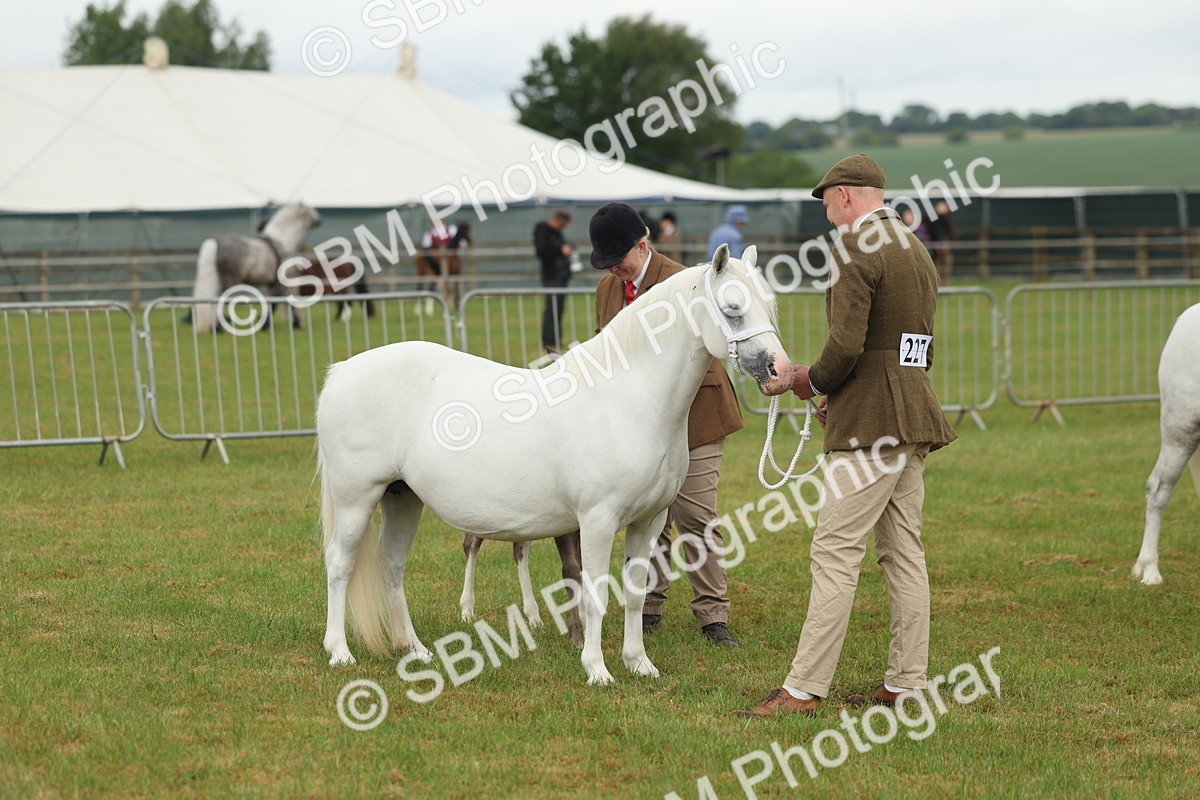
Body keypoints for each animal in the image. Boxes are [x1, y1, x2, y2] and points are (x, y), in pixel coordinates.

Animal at [191, 203, 321, 331]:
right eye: (310, 211)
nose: (319, 221)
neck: (281, 239)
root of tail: (215, 241)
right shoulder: (281, 282)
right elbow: (285, 300)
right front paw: (296, 324)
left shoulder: (270, 284)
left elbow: (272, 301)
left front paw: (265, 325)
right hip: (231, 281)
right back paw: (219, 327)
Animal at [316, 244, 793, 685]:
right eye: (733, 309)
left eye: (770, 304)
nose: (781, 372)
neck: (625, 399)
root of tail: (341, 371)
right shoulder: (597, 521)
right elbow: (596, 593)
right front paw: (597, 669)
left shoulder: (650, 520)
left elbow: (636, 593)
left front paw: (639, 664)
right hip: (357, 498)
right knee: (340, 563)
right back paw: (339, 652)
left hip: (402, 498)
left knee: (392, 565)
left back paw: (413, 649)